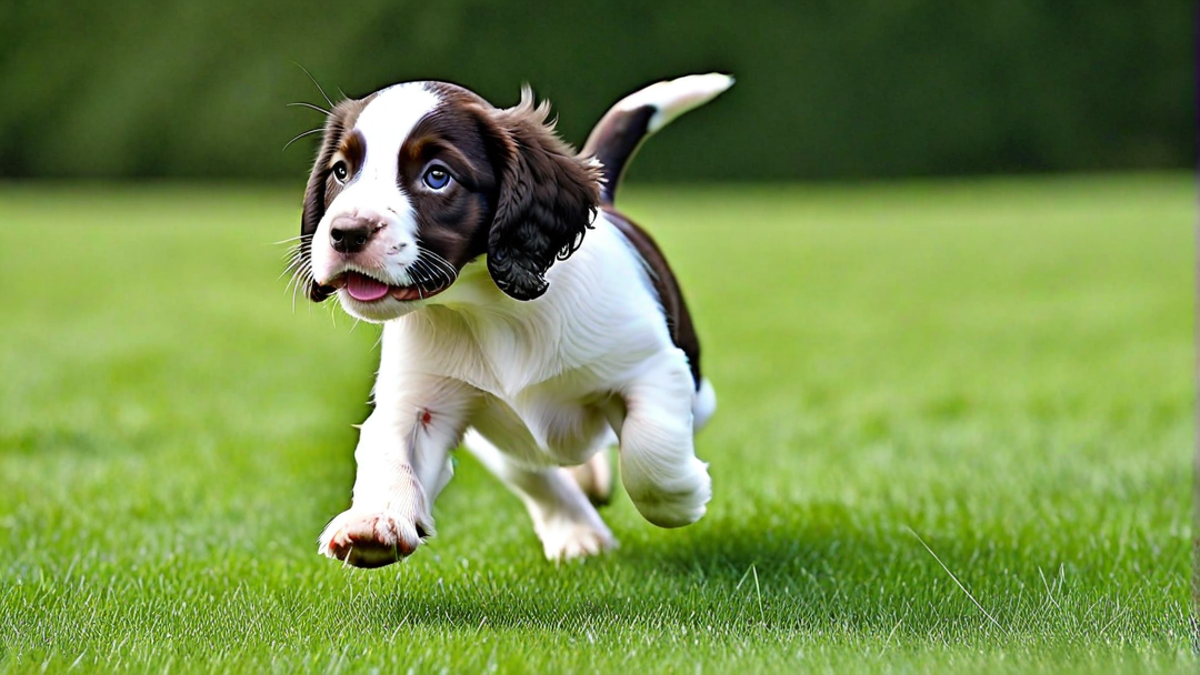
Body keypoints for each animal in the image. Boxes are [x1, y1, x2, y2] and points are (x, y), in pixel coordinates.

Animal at [292, 72, 729, 562]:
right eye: (341, 172)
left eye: (437, 176)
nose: (346, 233)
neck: (487, 309)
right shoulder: (420, 398)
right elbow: (388, 449)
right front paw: (374, 522)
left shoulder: (651, 365)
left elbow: (649, 456)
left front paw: (684, 495)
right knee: (535, 473)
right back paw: (577, 527)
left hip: (693, 389)